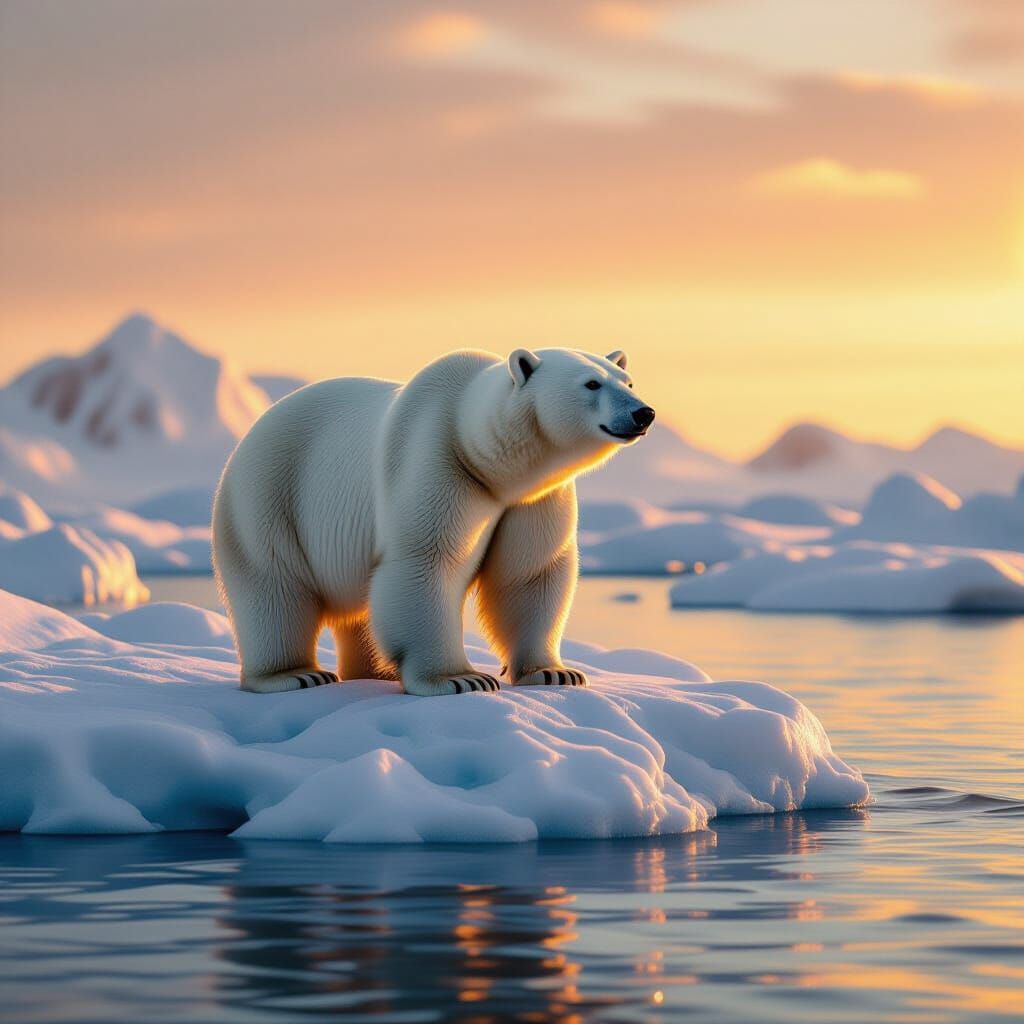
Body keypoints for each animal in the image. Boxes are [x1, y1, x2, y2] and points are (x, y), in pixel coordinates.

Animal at [212, 347, 655, 696]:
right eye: (591, 384)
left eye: (628, 382)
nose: (643, 412)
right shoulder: (437, 460)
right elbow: (428, 561)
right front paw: (460, 679)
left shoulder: (532, 499)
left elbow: (528, 573)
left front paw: (554, 672)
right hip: (269, 496)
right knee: (275, 587)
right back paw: (295, 674)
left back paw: (374, 671)